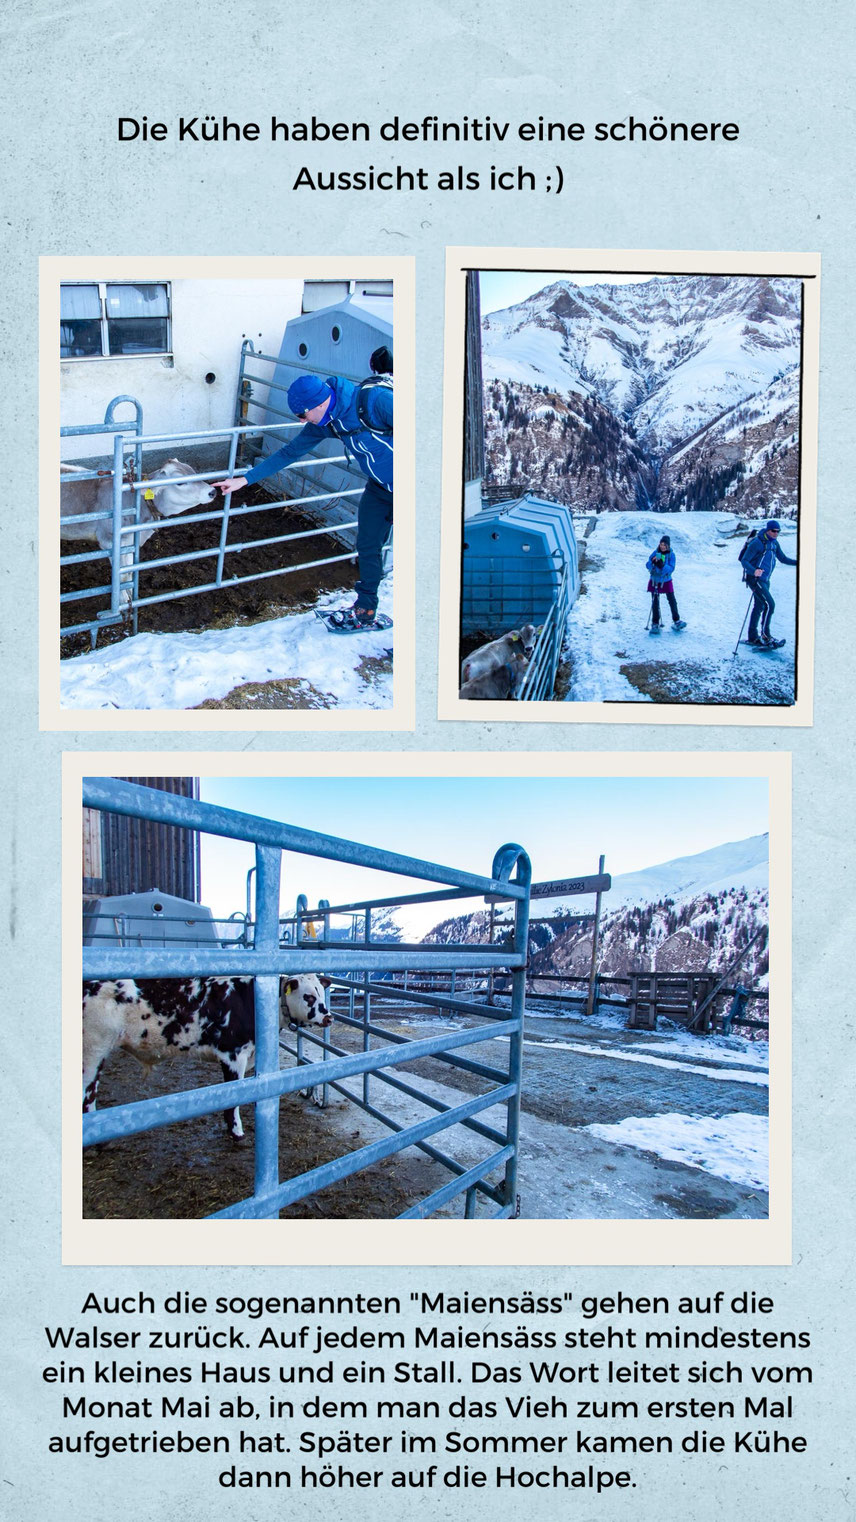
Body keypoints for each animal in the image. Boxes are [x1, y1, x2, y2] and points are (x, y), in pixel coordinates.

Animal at [80, 974, 333, 1144]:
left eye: (322, 993)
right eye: (308, 996)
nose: (329, 1017)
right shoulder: (233, 1054)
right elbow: (234, 1095)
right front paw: (236, 1132)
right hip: (93, 1050)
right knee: (87, 1094)